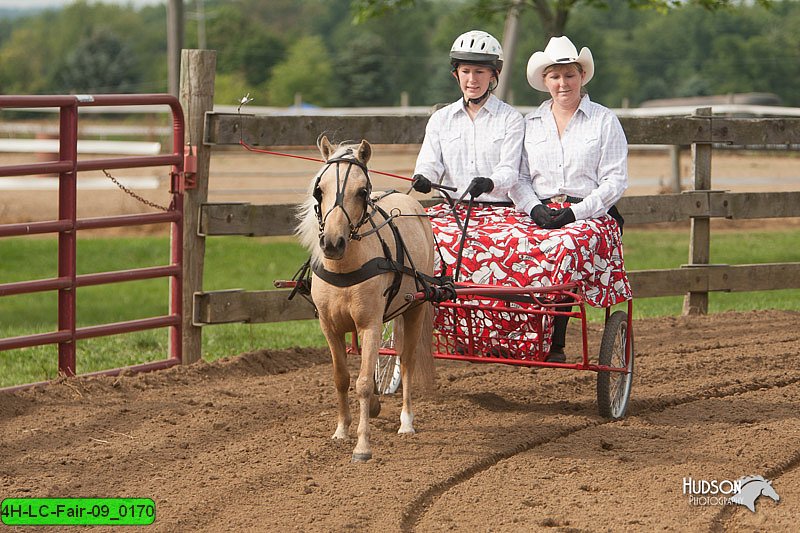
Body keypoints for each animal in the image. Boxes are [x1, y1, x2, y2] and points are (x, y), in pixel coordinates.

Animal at [296, 135, 434, 460]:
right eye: (319, 191)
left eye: (362, 191)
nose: (332, 243)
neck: (344, 267)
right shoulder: (329, 327)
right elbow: (342, 378)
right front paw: (341, 431)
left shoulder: (371, 324)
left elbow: (361, 384)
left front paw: (362, 446)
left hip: (416, 307)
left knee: (406, 361)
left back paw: (406, 422)